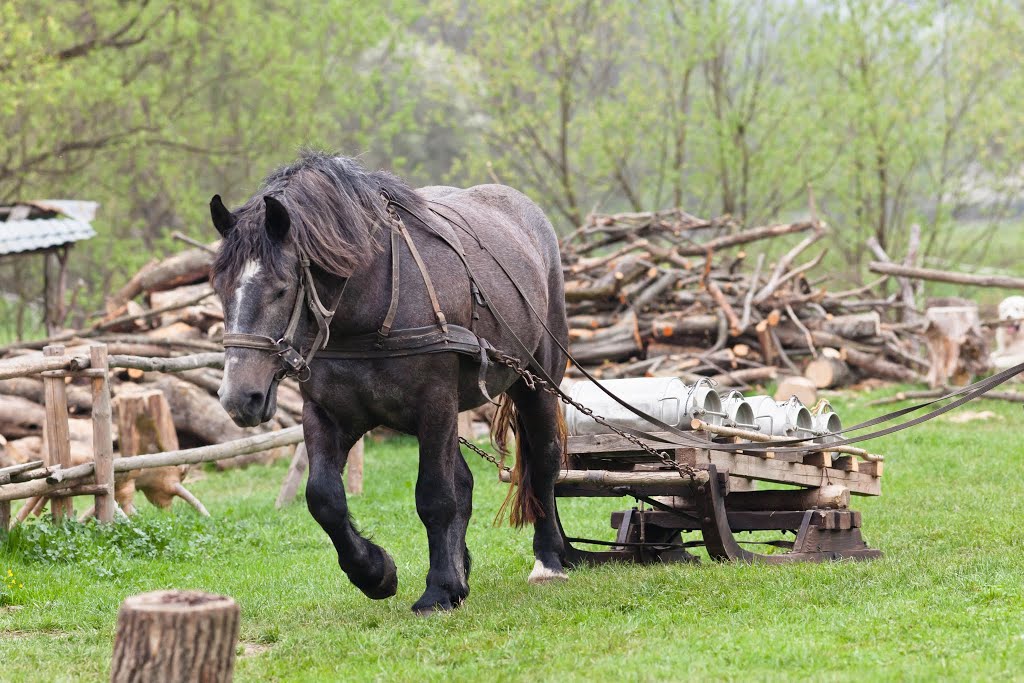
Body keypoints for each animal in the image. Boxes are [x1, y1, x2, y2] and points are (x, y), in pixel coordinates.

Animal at [206, 152, 569, 618]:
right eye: (220, 288)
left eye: (281, 289)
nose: (239, 398)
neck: (370, 302)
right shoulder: (326, 414)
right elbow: (323, 497)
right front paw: (375, 572)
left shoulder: (435, 404)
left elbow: (435, 496)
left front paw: (438, 590)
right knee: (467, 481)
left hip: (537, 381)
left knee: (543, 460)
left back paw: (549, 559)